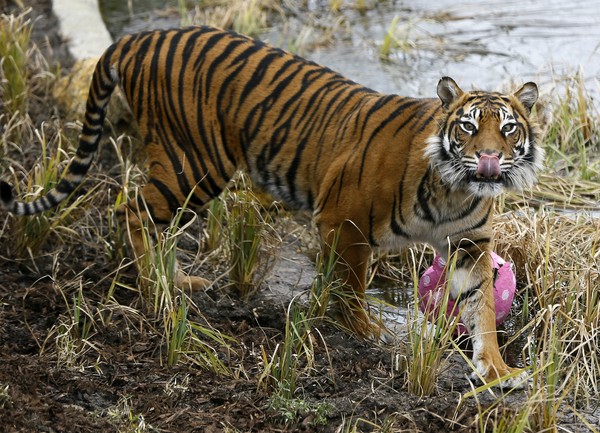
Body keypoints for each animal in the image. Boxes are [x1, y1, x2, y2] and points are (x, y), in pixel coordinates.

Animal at [1, 26, 544, 384]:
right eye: (468, 127)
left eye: (507, 128)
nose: (489, 158)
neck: (456, 189)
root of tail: (141, 36)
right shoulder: (344, 218)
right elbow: (349, 284)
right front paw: (365, 330)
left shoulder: (469, 246)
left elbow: (482, 311)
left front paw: (499, 370)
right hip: (193, 164)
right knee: (130, 209)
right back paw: (156, 290)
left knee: (141, 212)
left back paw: (178, 280)